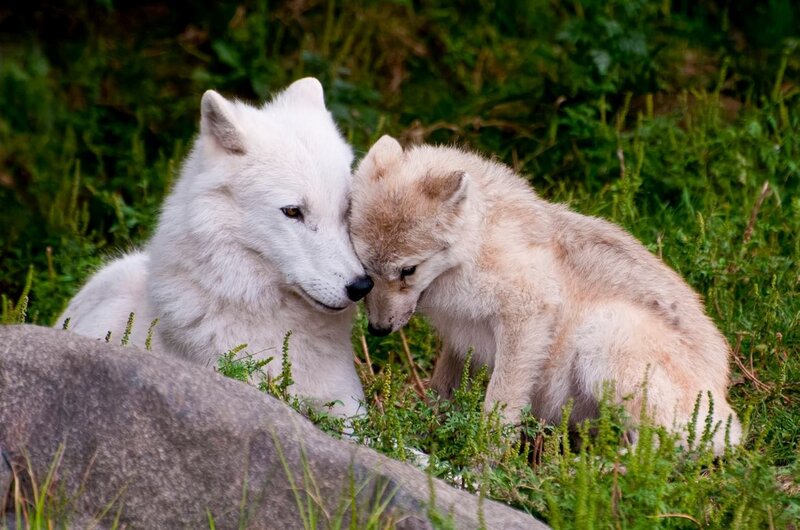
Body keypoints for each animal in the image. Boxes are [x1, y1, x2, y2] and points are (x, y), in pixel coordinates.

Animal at [349, 135, 742, 452]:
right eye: (367, 270)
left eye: (408, 271)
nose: (378, 330)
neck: (478, 245)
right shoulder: (462, 341)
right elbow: (441, 391)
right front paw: (425, 434)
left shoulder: (527, 314)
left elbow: (499, 406)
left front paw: (480, 463)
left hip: (603, 335)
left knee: (657, 451)